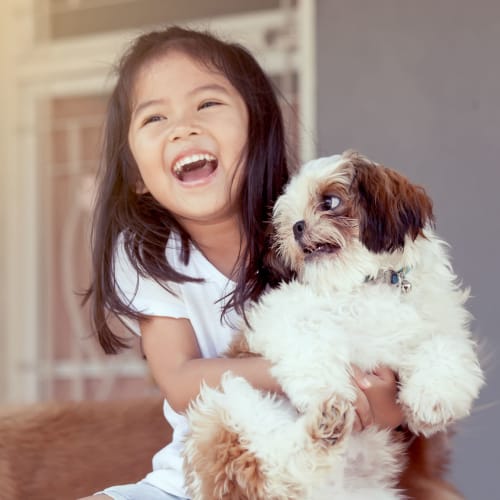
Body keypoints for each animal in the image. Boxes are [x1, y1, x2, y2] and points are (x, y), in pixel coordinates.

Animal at [184, 149, 484, 500]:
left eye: (329, 202)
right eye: (288, 218)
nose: (297, 226)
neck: (369, 283)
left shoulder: (440, 326)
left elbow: (443, 348)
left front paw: (433, 399)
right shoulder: (278, 316)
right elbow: (311, 338)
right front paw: (326, 388)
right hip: (228, 406)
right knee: (277, 467)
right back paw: (327, 420)